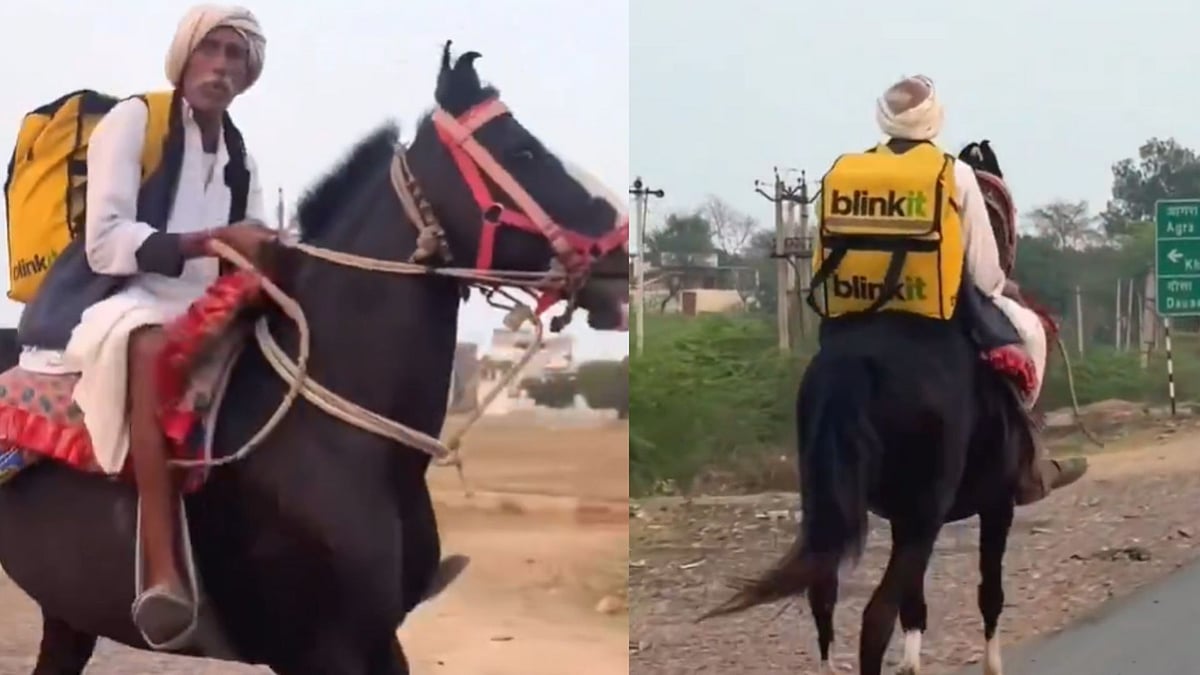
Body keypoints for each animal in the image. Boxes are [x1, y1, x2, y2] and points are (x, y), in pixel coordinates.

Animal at [0, 42, 628, 674]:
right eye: (522, 150)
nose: (620, 253)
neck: (337, 440)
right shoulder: (319, 649)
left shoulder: (378, 637)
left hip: (69, 611)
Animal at [698, 141, 1049, 675]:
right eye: (1002, 217)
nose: (1008, 276)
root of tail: (857, 363)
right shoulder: (995, 502)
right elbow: (988, 593)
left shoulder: (905, 513)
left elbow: (916, 608)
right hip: (926, 510)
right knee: (875, 614)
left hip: (830, 497)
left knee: (823, 595)